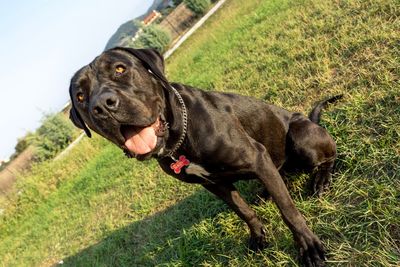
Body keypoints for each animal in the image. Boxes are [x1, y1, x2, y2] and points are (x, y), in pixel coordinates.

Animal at [69, 47, 340, 266]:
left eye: (120, 69)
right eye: (81, 96)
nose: (102, 106)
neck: (178, 138)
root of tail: (309, 119)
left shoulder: (257, 157)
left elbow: (288, 211)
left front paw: (309, 247)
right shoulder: (214, 184)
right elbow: (243, 210)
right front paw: (258, 237)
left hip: (301, 137)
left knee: (330, 156)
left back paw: (321, 179)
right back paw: (265, 192)